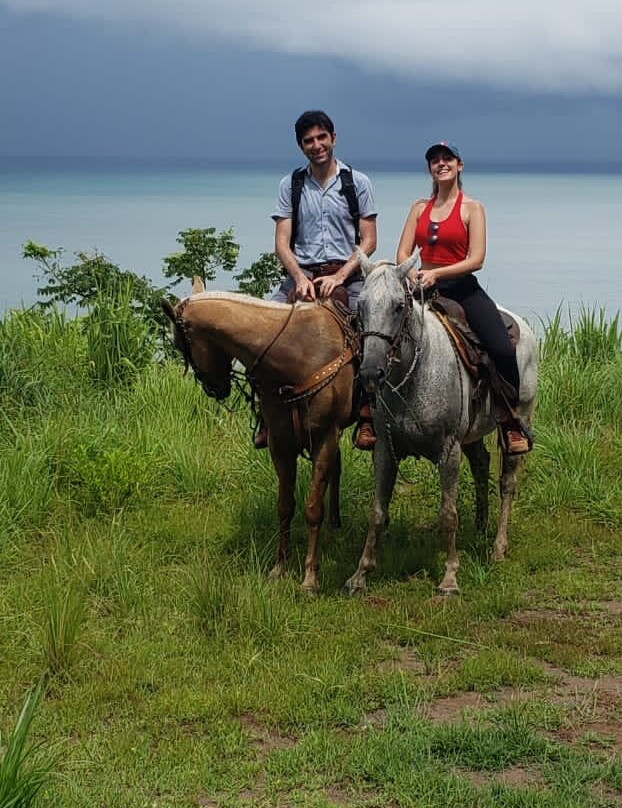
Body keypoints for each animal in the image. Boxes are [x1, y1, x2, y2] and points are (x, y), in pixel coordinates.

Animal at [163, 284, 358, 592]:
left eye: (181, 345)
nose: (213, 389)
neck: (297, 353)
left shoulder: (325, 437)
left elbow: (312, 508)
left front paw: (309, 577)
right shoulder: (280, 444)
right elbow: (285, 507)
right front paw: (279, 568)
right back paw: (334, 526)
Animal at [346, 256, 540, 596]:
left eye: (398, 306)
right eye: (361, 306)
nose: (370, 373)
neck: (415, 374)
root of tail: (522, 326)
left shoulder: (449, 451)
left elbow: (448, 514)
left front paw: (449, 577)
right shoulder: (385, 450)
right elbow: (378, 512)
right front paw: (361, 574)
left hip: (520, 418)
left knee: (508, 482)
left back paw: (498, 547)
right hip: (472, 435)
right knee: (481, 465)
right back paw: (479, 528)